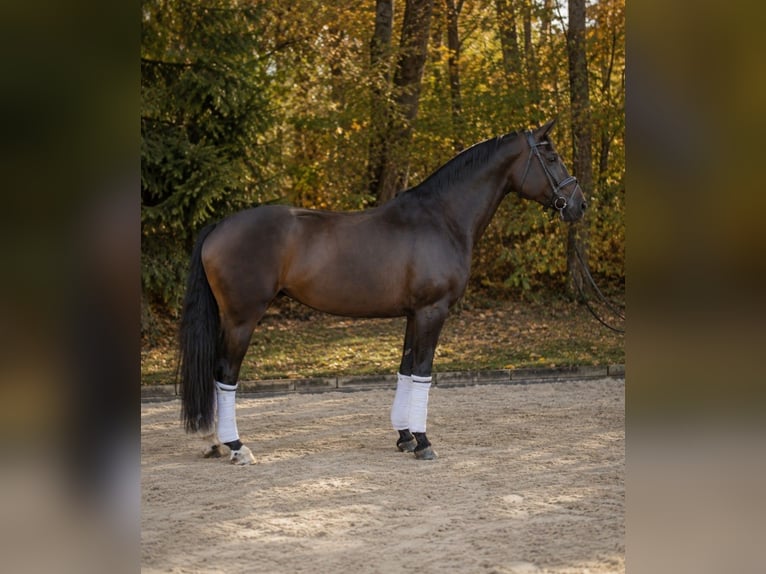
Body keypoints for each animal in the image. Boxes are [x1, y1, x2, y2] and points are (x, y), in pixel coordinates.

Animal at [178, 118, 586, 464]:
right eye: (551, 156)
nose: (580, 204)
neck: (442, 217)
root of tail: (219, 227)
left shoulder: (414, 314)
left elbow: (405, 369)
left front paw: (405, 437)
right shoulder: (433, 310)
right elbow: (423, 371)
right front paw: (424, 442)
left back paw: (215, 442)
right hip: (242, 318)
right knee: (225, 373)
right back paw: (236, 446)